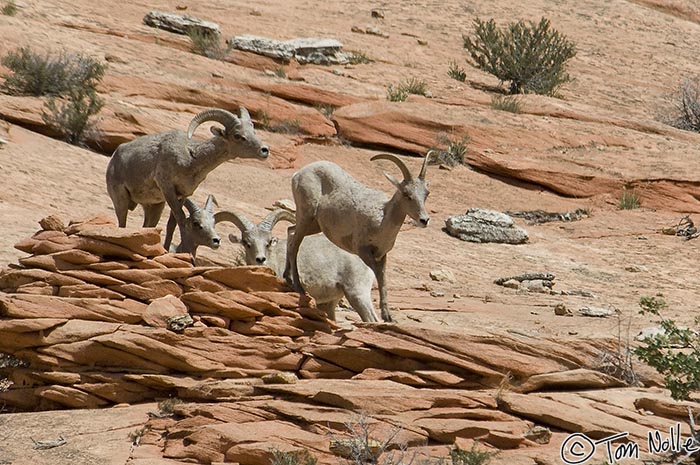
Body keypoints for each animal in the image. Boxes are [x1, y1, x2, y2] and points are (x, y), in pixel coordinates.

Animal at [105, 107, 270, 248]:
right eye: (237, 136)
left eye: (253, 131)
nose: (264, 150)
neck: (191, 159)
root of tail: (115, 156)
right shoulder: (167, 188)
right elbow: (182, 219)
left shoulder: (182, 195)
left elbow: (172, 224)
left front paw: (166, 249)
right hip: (121, 200)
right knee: (122, 223)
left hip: (155, 206)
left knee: (147, 226)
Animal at [284, 152, 432, 322]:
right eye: (407, 194)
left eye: (426, 194)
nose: (424, 220)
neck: (382, 219)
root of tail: (298, 174)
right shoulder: (364, 252)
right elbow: (376, 276)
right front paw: (384, 316)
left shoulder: (382, 255)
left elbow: (383, 281)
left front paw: (388, 316)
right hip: (306, 216)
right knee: (294, 244)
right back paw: (298, 287)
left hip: (313, 225)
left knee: (290, 232)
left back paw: (287, 277)